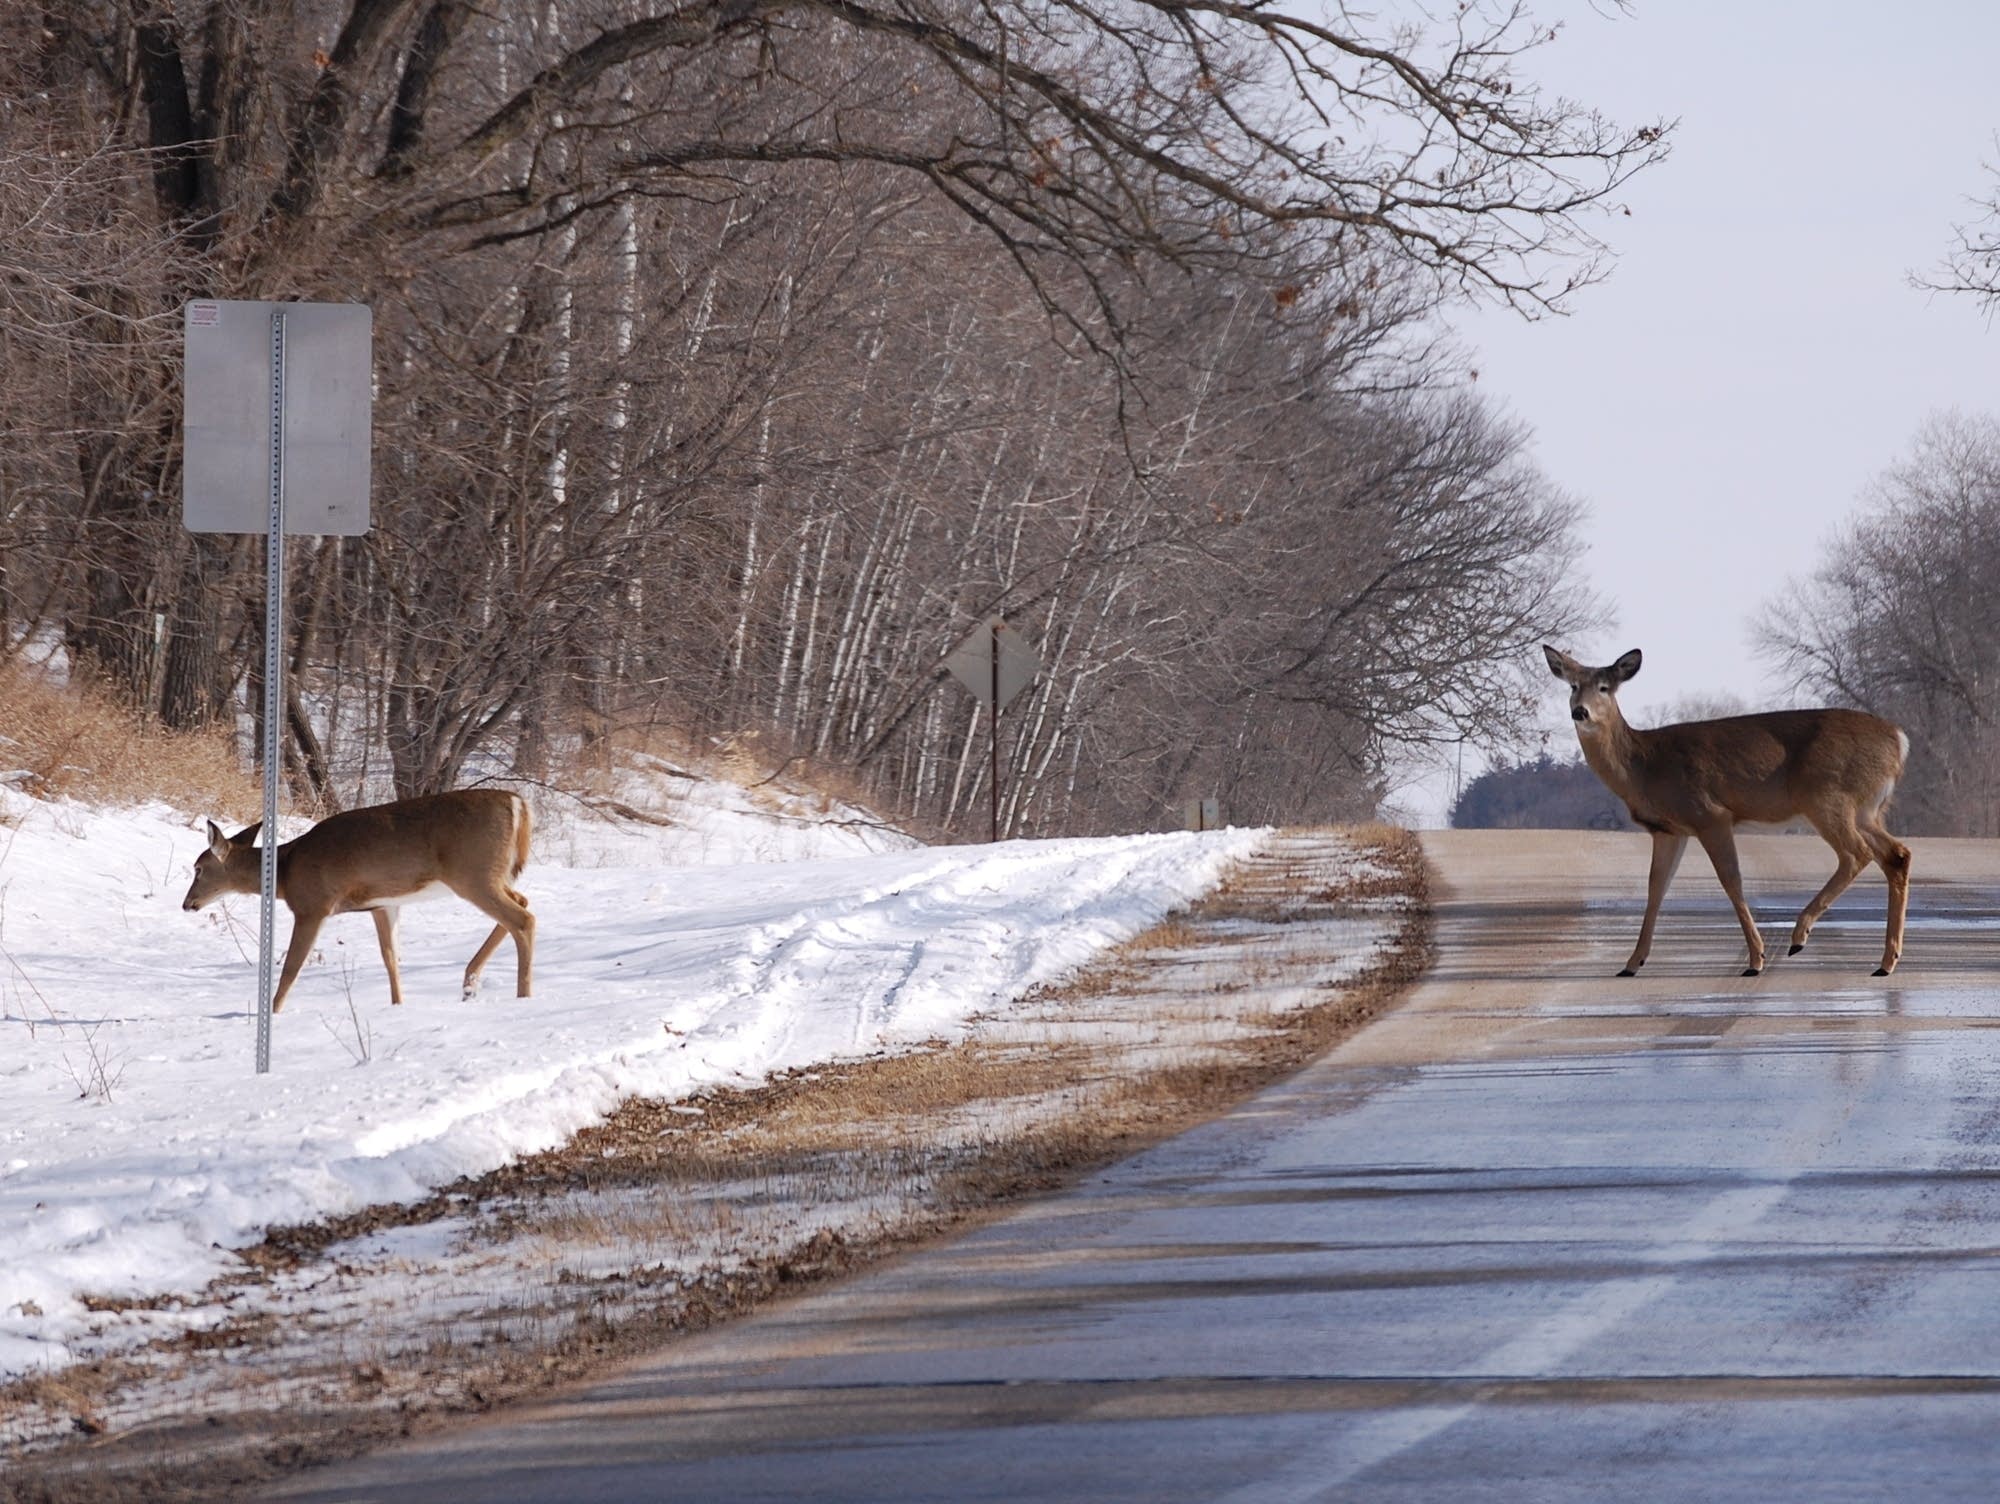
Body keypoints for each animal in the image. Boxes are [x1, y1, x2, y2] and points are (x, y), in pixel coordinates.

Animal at [181, 788, 536, 1012]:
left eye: (198, 868)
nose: (187, 904)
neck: (285, 871)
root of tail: (518, 802)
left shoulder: (312, 905)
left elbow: (292, 966)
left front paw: (274, 1012)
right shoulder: (383, 904)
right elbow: (391, 958)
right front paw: (397, 1005)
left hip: (474, 874)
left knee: (522, 919)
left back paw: (523, 997)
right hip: (492, 876)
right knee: (522, 902)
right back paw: (469, 983)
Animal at [1536, 652, 1912, 980]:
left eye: (1604, 687)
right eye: (1573, 685)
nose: (1580, 712)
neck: (1644, 766)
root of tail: (1899, 739)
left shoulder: (1710, 813)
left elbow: (1731, 880)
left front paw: (1756, 959)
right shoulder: (1670, 830)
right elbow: (1656, 887)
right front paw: (1632, 963)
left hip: (1827, 797)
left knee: (1856, 854)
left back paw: (1800, 937)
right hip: (1865, 810)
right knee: (1896, 855)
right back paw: (1886, 962)